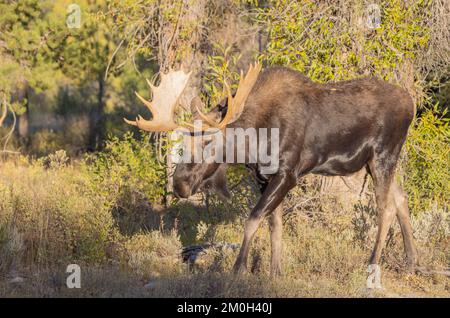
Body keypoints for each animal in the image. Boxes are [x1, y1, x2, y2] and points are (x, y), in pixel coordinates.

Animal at [125, 62, 416, 286]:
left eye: (207, 142)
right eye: (182, 143)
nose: (180, 184)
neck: (255, 141)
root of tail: (412, 103)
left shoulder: (288, 174)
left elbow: (253, 219)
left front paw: (238, 269)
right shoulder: (263, 178)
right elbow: (275, 225)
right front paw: (275, 272)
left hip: (382, 156)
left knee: (386, 208)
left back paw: (372, 266)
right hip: (370, 163)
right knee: (402, 198)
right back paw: (412, 261)